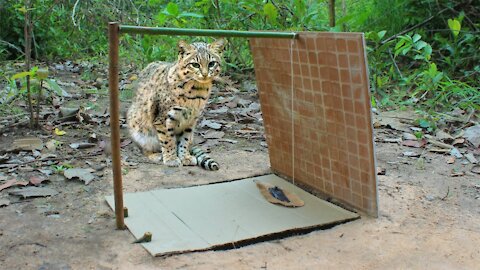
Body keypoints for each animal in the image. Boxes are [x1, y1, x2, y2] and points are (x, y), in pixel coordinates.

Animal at [126, 39, 226, 170]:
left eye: (211, 63)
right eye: (195, 64)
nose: (205, 74)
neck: (197, 91)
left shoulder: (191, 121)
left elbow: (184, 140)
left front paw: (184, 157)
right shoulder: (164, 118)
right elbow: (168, 140)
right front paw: (171, 159)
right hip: (138, 128)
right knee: (145, 148)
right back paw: (156, 155)